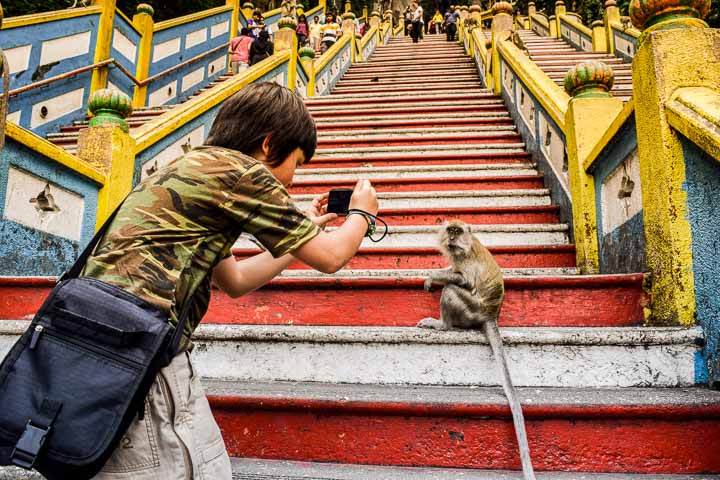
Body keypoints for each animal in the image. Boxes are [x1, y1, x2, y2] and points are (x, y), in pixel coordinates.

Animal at [416, 220, 536, 480]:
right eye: (450, 230)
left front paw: (432, 277)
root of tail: (490, 315)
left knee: (451, 289)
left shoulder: (465, 260)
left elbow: (464, 281)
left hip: (470, 310)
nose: (452, 237)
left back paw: (442, 324)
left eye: (457, 231)